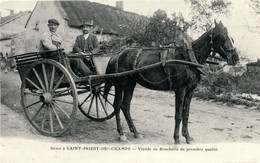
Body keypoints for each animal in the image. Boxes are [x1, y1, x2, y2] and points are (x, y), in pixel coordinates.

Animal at [104, 20, 240, 144]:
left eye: (232, 38)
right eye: (222, 36)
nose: (235, 58)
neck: (188, 58)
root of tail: (117, 55)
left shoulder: (190, 91)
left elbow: (186, 114)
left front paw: (187, 137)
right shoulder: (180, 89)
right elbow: (178, 115)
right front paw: (177, 138)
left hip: (130, 84)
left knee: (125, 106)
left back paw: (136, 132)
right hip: (120, 84)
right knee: (117, 106)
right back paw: (122, 134)